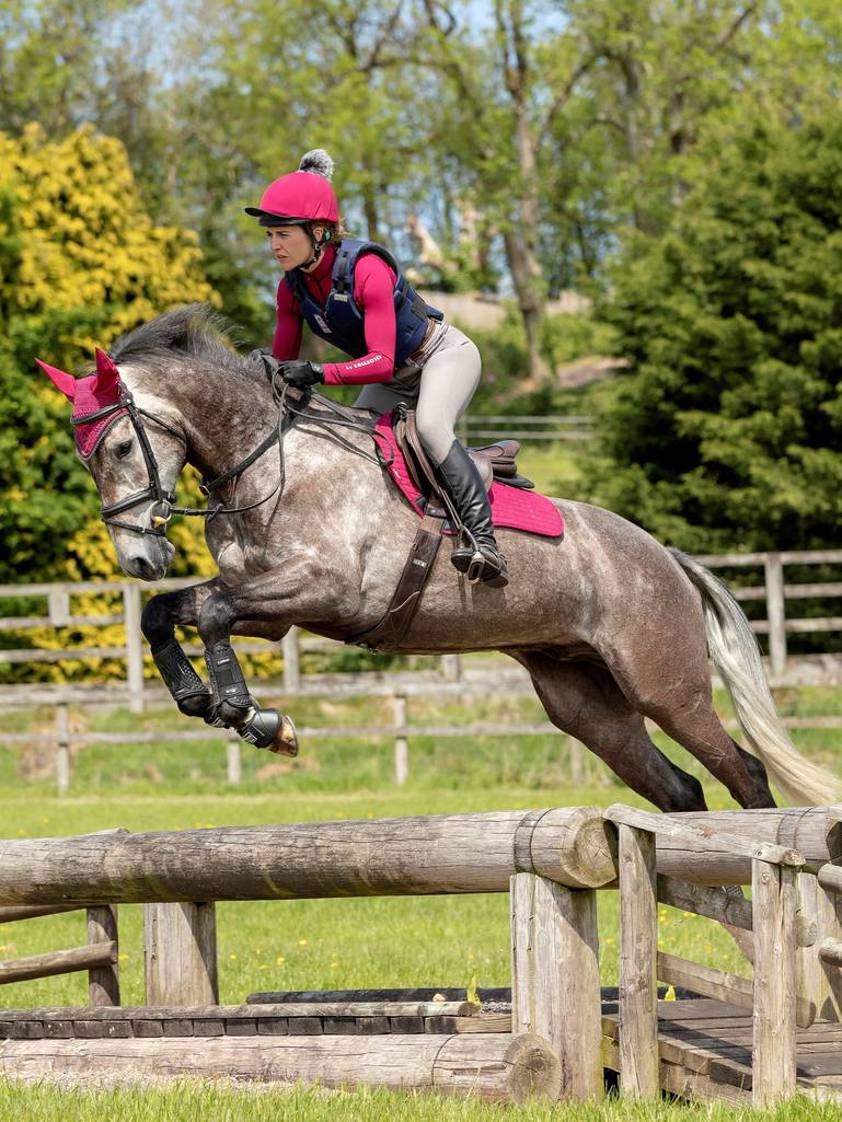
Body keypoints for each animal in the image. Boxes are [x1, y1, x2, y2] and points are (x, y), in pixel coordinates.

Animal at [41, 307, 842, 812]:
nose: (139, 556)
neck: (265, 457)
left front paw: (248, 714)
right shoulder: (267, 606)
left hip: (665, 687)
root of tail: (666, 557)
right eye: (85, 460)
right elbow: (170, 613)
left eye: (120, 445)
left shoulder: (323, 591)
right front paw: (211, 704)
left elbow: (207, 612)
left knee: (744, 771)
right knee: (679, 791)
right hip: (585, 702)